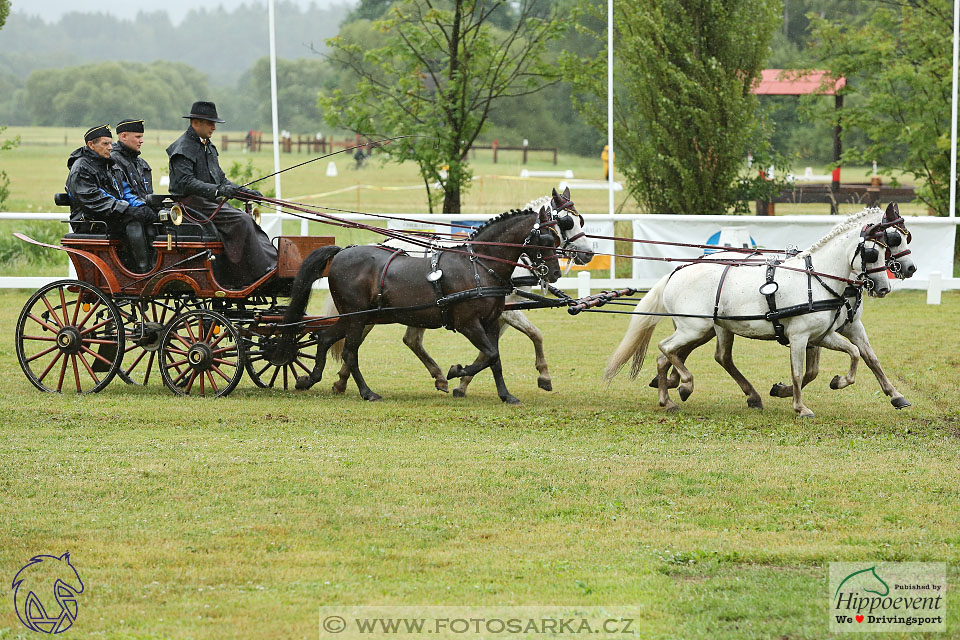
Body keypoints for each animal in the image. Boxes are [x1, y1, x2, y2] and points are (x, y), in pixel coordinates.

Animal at [280, 208, 564, 402]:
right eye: (545, 240)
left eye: (557, 238)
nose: (555, 273)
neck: (479, 266)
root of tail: (342, 251)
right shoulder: (468, 323)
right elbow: (491, 355)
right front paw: (456, 371)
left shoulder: (492, 322)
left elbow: (494, 359)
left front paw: (505, 395)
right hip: (358, 317)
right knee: (350, 352)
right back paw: (367, 392)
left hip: (352, 317)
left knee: (326, 338)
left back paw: (310, 379)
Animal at [324, 185, 592, 396]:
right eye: (566, 222)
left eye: (580, 219)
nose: (588, 253)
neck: (486, 261)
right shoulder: (505, 311)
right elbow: (533, 335)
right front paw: (543, 375)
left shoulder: (500, 313)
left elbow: (492, 350)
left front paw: (463, 382)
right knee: (358, 340)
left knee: (405, 340)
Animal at [608, 202, 916, 418]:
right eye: (877, 249)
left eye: (899, 241)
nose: (884, 286)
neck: (819, 277)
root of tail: (676, 272)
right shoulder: (801, 336)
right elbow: (799, 371)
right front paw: (800, 406)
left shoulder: (829, 333)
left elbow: (861, 356)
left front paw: (881, 391)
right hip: (694, 327)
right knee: (667, 349)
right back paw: (684, 385)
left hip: (707, 328)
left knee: (686, 356)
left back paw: (671, 397)